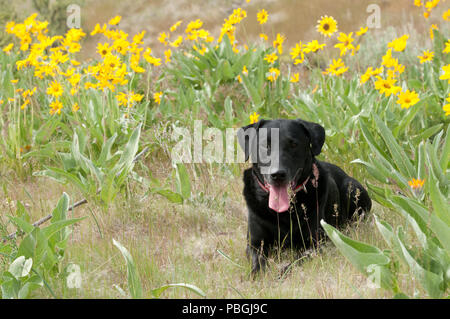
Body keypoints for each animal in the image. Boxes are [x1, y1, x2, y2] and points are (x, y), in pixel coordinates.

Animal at [237, 119, 370, 274]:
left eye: (294, 145)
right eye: (266, 145)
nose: (278, 174)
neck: (283, 213)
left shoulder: (316, 244)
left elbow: (294, 262)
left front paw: (280, 273)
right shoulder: (255, 244)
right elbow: (257, 264)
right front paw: (258, 275)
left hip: (352, 188)